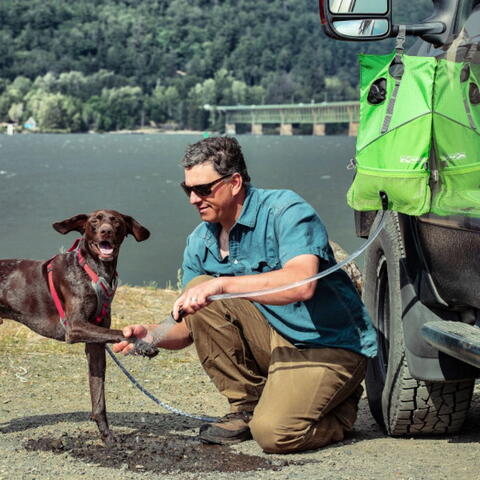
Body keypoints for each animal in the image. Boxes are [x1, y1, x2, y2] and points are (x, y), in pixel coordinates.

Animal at [0, 210, 156, 442]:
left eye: (116, 221)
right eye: (95, 221)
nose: (106, 231)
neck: (97, 272)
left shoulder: (95, 344)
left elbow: (98, 397)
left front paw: (106, 435)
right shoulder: (75, 327)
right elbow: (120, 332)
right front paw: (144, 344)